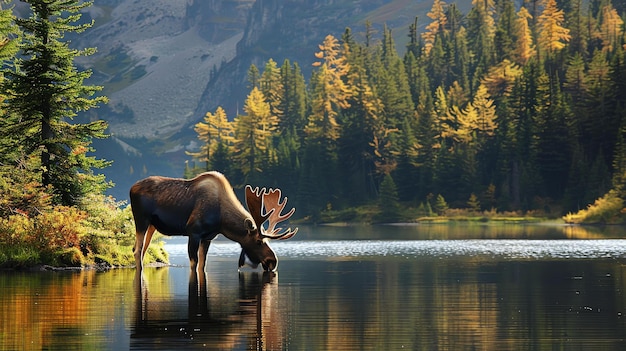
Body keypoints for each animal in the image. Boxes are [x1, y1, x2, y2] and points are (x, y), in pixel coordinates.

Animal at [128, 172, 296, 274]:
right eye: (258, 242)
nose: (273, 262)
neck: (222, 221)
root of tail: (131, 188)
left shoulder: (208, 237)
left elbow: (203, 264)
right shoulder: (194, 232)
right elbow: (194, 263)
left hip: (152, 226)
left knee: (141, 249)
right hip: (141, 220)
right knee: (137, 250)